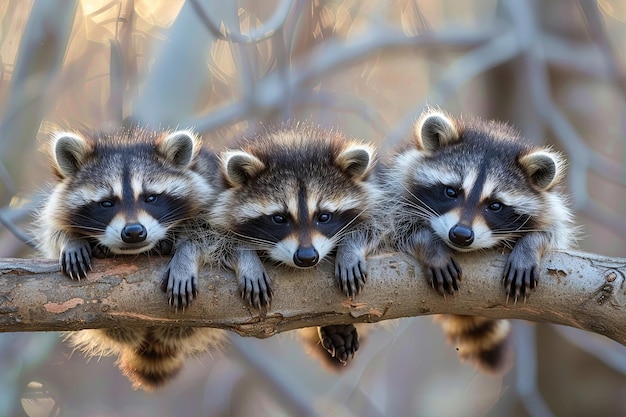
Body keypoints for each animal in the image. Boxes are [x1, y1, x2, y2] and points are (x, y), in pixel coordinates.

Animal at [36, 127, 224, 390]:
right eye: (106, 203)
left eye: (151, 198)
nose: (134, 232)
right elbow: (52, 227)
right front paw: (70, 240)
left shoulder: (211, 185)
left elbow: (212, 233)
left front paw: (184, 253)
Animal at [386, 109, 576, 372]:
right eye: (451, 192)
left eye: (495, 206)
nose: (461, 234)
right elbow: (398, 226)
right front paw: (429, 245)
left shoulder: (550, 207)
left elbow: (551, 231)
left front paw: (529, 246)